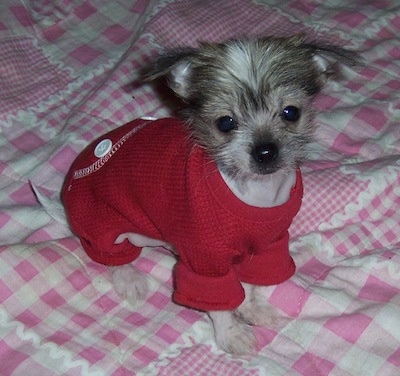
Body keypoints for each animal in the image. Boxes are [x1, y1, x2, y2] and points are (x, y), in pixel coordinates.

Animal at [60, 36, 362, 356]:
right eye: (225, 123)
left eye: (291, 112)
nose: (266, 151)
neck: (254, 192)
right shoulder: (206, 263)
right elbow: (219, 302)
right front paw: (232, 334)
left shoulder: (267, 245)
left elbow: (251, 285)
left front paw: (253, 309)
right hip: (104, 223)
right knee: (112, 256)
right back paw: (130, 279)